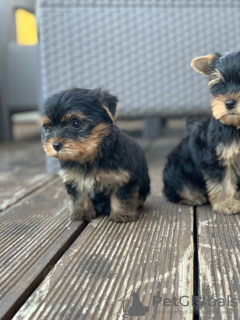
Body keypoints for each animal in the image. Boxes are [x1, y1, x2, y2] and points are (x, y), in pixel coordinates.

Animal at [41, 88, 150, 222]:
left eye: (76, 123)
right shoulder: (73, 178)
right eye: (48, 128)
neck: (90, 157)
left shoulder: (124, 178)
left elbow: (122, 196)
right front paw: (81, 212)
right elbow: (79, 197)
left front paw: (121, 214)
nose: (55, 145)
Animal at [163, 51, 240, 214]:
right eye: (219, 85)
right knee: (177, 188)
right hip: (176, 169)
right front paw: (227, 204)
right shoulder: (216, 158)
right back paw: (193, 197)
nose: (229, 103)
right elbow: (222, 182)